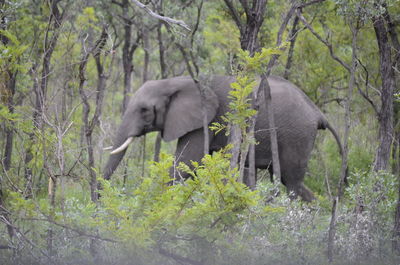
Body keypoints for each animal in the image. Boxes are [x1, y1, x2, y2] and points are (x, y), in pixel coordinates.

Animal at [101, 75, 342, 200]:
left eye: (144, 110)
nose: (99, 201)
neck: (175, 80)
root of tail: (318, 113)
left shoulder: (203, 121)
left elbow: (186, 163)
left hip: (297, 135)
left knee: (291, 182)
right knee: (291, 181)